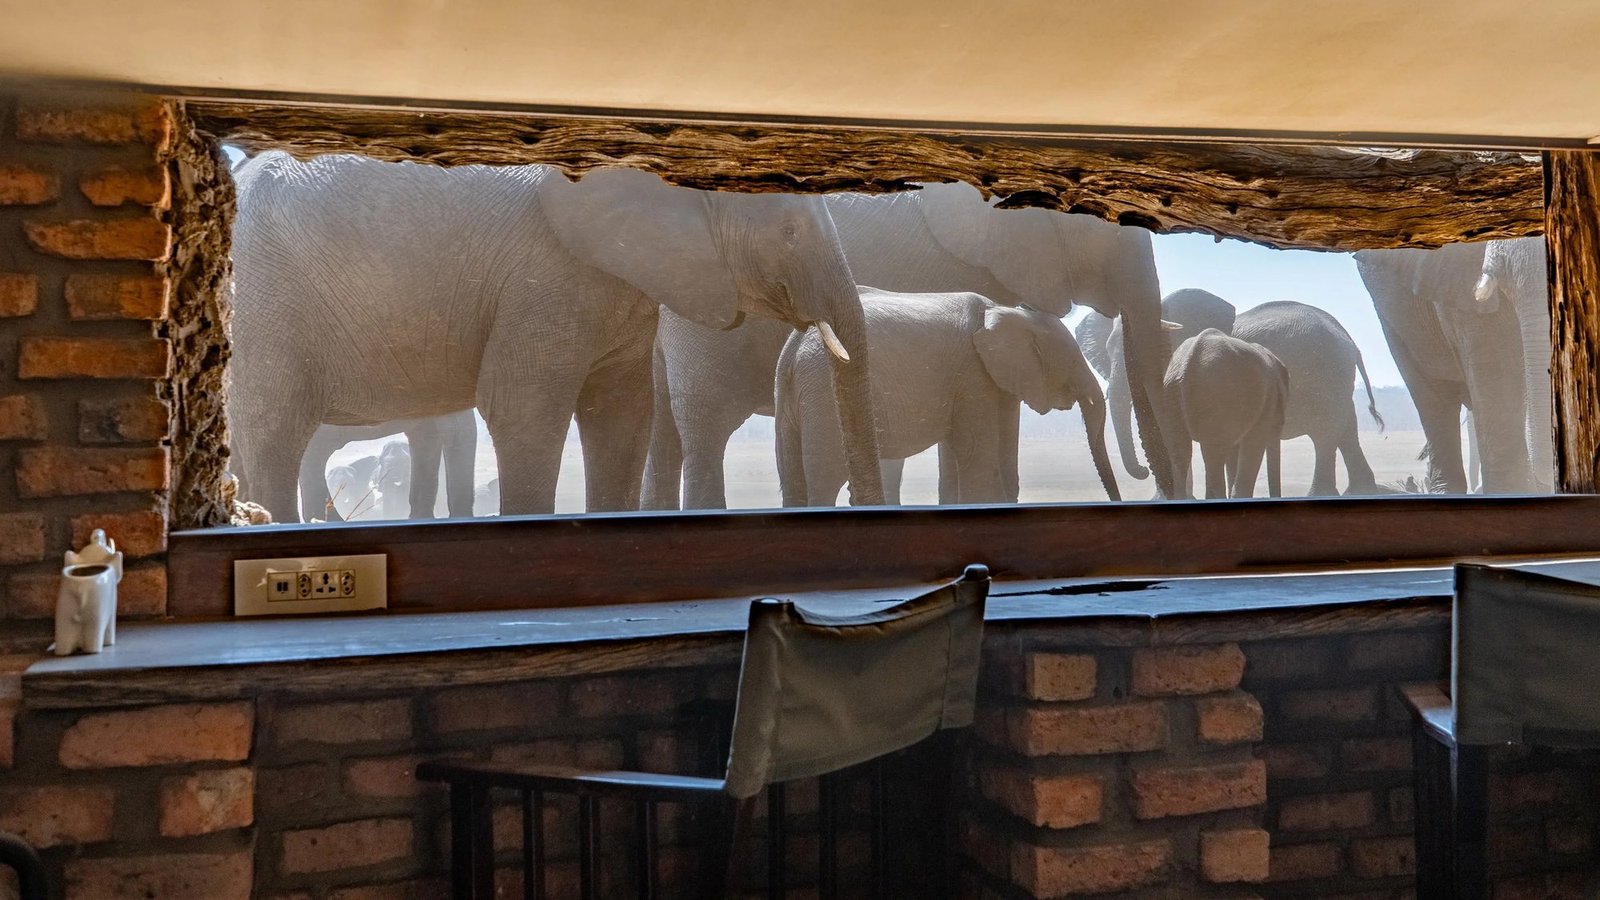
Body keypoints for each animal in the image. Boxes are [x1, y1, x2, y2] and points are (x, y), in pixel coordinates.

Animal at [774, 288, 1119, 506]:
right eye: (1072, 362)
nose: (1117, 501)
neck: (1004, 312)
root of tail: (794, 347)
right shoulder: (973, 375)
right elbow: (976, 455)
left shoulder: (995, 378)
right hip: (823, 394)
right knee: (824, 480)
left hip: (793, 398)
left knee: (792, 478)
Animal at [1163, 329, 1288, 499]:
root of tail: (1187, 366)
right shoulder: (1266, 400)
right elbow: (1254, 442)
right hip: (1217, 397)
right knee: (1213, 455)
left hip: (1172, 397)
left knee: (1180, 452)